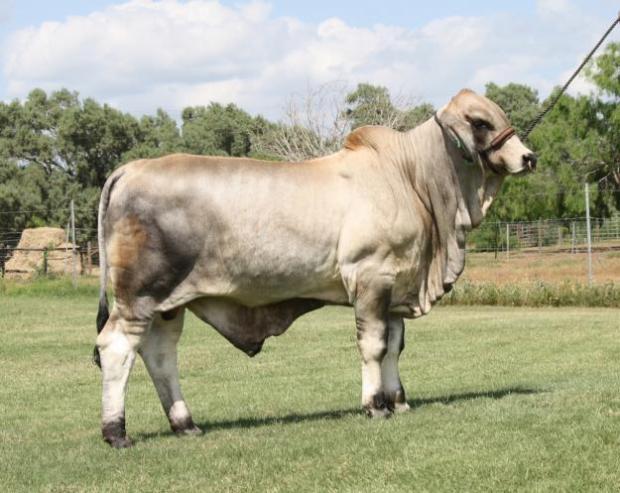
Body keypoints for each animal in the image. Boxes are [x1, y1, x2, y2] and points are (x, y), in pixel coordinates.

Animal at [93, 88, 536, 446]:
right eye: (480, 121)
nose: (528, 157)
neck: (411, 178)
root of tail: (129, 168)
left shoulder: (395, 284)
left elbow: (394, 346)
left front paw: (398, 401)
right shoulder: (371, 277)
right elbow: (373, 345)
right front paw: (375, 405)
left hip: (170, 304)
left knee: (160, 355)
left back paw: (185, 424)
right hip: (140, 295)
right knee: (116, 347)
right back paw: (116, 433)